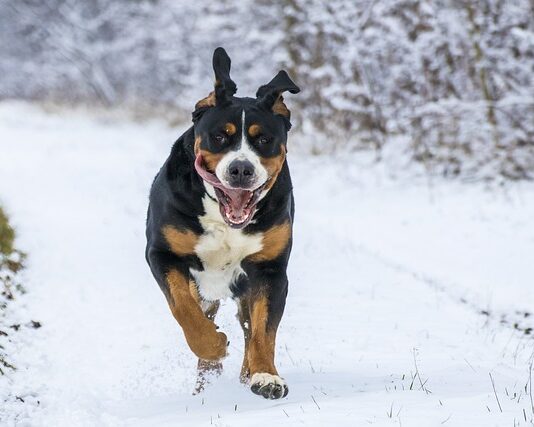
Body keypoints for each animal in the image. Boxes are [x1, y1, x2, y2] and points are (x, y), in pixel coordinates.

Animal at [144, 48, 300, 400]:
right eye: (219, 137)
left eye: (264, 139)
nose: (241, 169)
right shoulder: (163, 254)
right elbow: (185, 310)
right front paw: (213, 344)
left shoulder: (270, 269)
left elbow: (263, 330)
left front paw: (266, 376)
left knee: (247, 325)